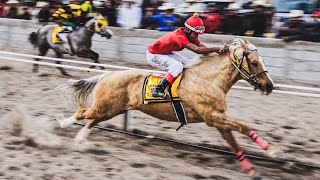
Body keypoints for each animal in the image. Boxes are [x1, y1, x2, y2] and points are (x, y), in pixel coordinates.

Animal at [57, 38, 280, 179]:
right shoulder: (212, 116)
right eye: (254, 62)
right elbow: (243, 126)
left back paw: (80, 140)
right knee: (83, 113)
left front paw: (251, 169)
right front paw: (271, 150)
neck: (209, 79)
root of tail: (108, 74)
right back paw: (62, 124)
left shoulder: (218, 118)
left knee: (91, 120)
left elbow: (233, 142)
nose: (269, 86)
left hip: (112, 109)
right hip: (105, 106)